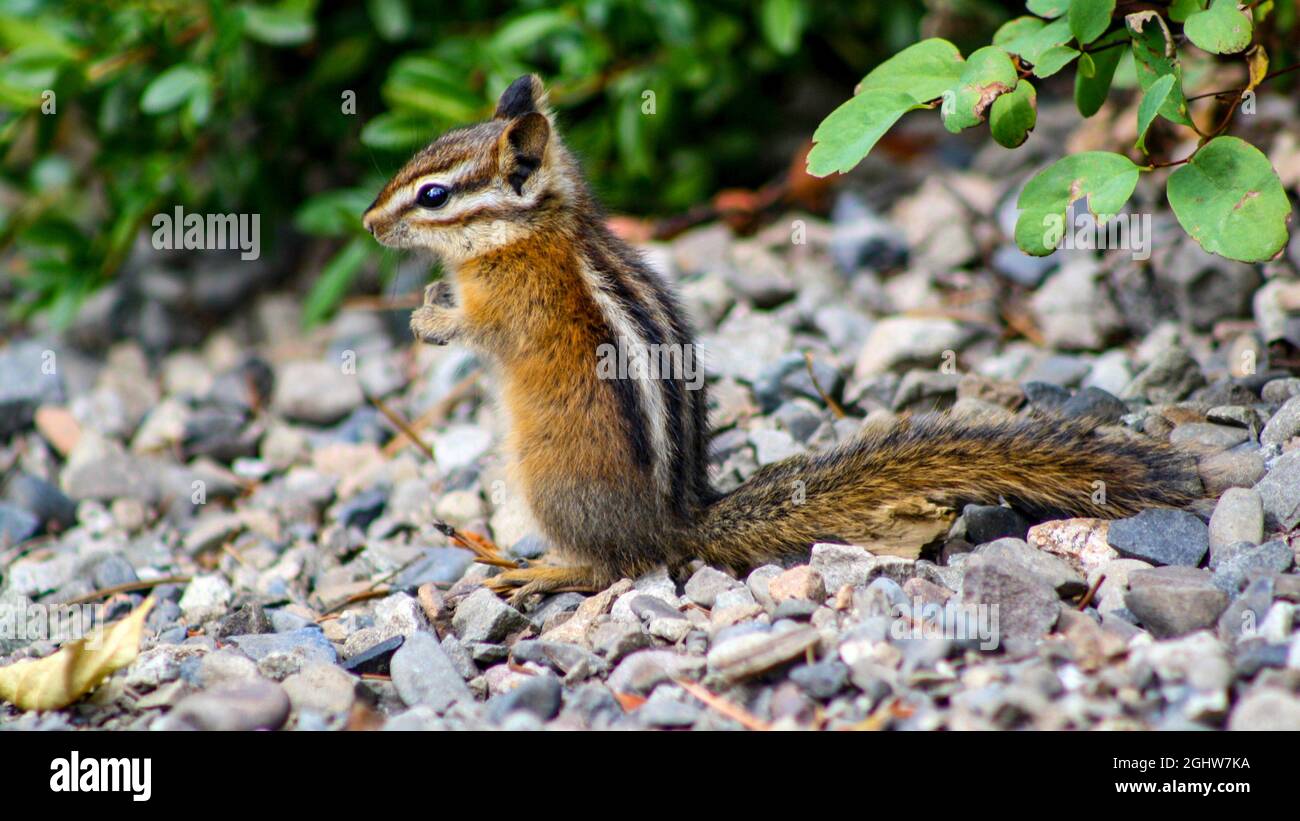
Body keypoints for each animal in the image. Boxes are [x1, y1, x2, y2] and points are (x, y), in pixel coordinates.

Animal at [362, 74, 1203, 601]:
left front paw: (427, 318)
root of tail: (677, 523)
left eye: (432, 195)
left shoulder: (514, 298)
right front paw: (425, 301)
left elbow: (478, 328)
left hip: (552, 486)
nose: (368, 223)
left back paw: (543, 571)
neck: (531, 230)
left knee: (612, 569)